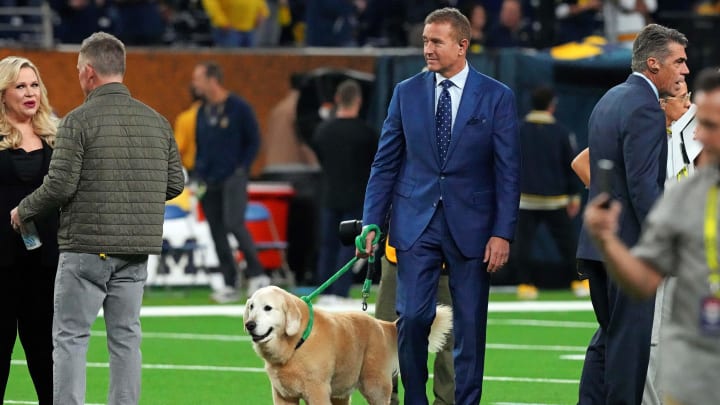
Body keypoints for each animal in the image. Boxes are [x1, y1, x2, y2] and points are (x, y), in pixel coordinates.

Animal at [245, 286, 452, 402]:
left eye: (268, 308)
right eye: (251, 307)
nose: (249, 325)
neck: (296, 343)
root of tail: (382, 324)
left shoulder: (318, 391)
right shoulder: (284, 395)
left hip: (374, 385)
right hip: (342, 391)